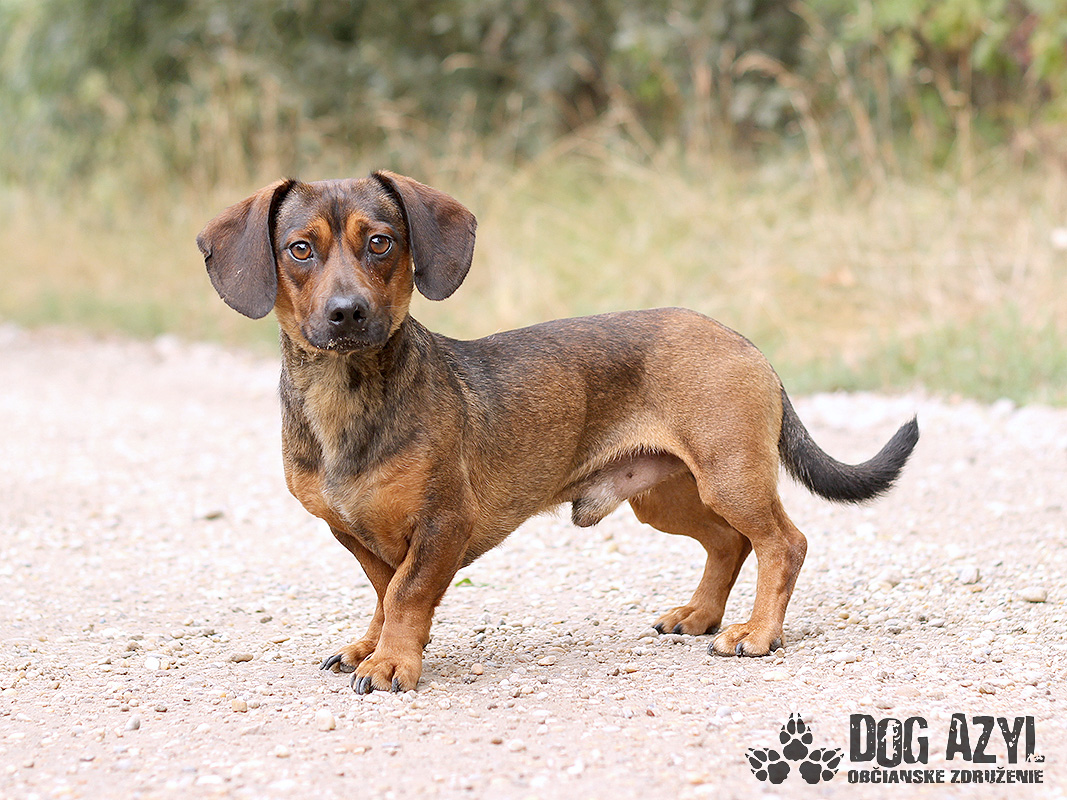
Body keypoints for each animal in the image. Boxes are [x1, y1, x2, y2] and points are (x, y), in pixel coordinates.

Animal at [198, 172, 919, 694]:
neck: (344, 396)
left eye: (380, 242)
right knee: (728, 544)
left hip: (729, 475)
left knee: (782, 543)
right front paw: (375, 648)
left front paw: (393, 662)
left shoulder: (443, 523)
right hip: (666, 497)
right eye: (300, 248)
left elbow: (405, 593)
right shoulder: (354, 534)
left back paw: (757, 632)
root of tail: (742, 341)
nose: (347, 314)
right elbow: (384, 593)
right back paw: (699, 614)